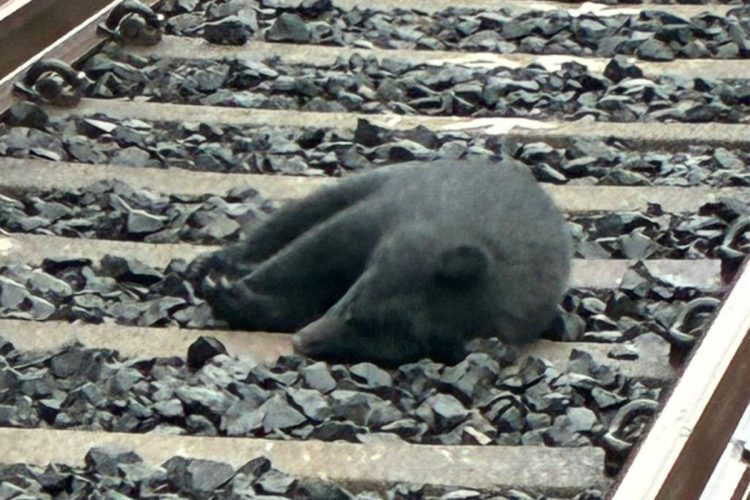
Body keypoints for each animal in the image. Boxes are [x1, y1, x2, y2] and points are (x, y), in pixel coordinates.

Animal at [188, 159, 572, 367]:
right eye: (353, 308)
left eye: (379, 340)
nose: (302, 342)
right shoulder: (401, 216)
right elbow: (315, 253)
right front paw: (229, 289)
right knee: (300, 215)